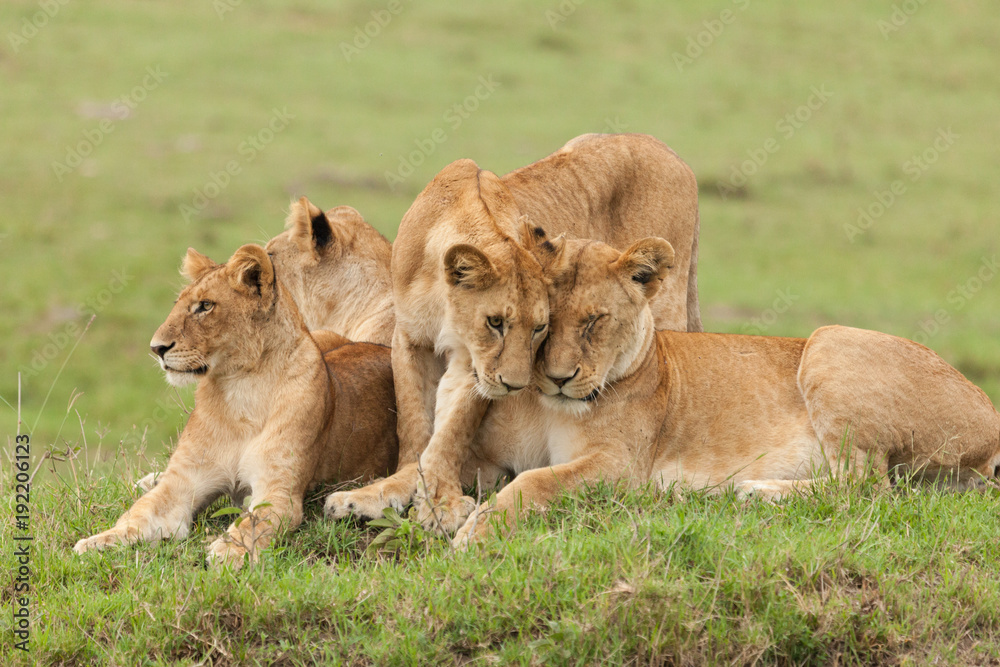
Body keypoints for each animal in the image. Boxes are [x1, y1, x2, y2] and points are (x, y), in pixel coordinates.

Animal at [73, 244, 398, 567]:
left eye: (205, 306)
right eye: (178, 304)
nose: (156, 348)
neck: (240, 388)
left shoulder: (279, 491)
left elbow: (254, 521)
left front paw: (229, 551)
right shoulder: (181, 483)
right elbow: (138, 513)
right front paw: (97, 542)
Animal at [451, 237, 1000, 546]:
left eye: (594, 321)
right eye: (545, 324)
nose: (559, 377)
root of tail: (991, 414)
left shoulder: (621, 467)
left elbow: (534, 482)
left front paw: (474, 534)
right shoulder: (488, 456)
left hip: (829, 341)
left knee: (865, 489)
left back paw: (754, 490)